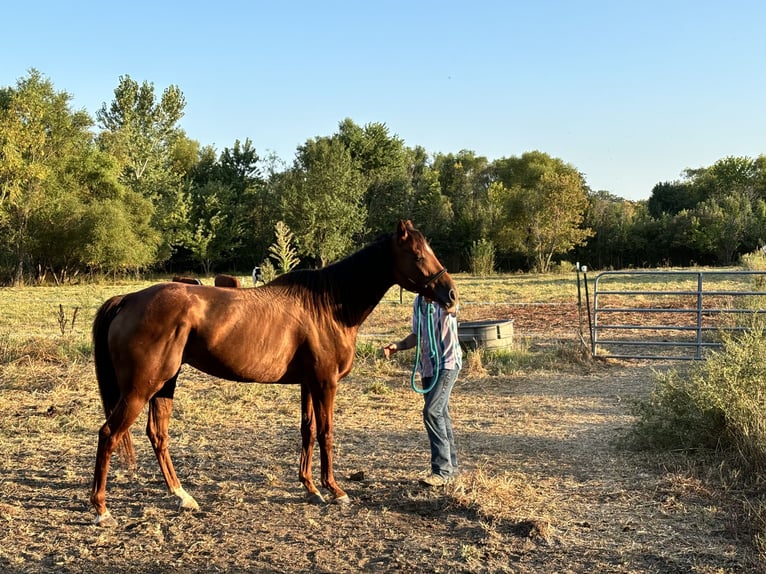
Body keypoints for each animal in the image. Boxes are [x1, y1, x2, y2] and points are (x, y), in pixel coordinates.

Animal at [91, 219, 462, 528]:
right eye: (417, 254)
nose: (451, 294)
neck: (328, 305)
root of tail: (129, 299)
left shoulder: (308, 384)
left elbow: (307, 431)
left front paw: (311, 488)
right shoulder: (325, 383)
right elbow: (326, 433)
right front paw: (335, 490)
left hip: (164, 384)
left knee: (158, 435)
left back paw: (182, 496)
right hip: (141, 388)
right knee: (109, 434)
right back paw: (101, 509)